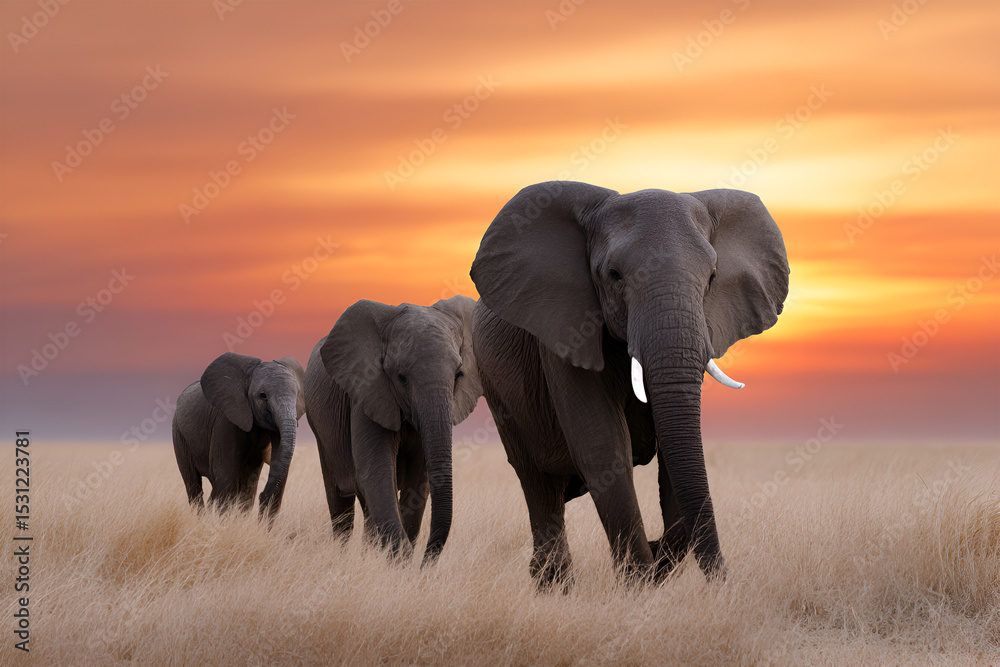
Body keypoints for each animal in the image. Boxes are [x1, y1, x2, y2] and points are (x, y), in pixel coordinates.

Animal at [172, 352, 305, 520]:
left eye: (298, 394)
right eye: (263, 396)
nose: (263, 496)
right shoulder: (225, 421)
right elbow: (227, 477)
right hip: (179, 433)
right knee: (193, 484)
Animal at [304, 295, 482, 564]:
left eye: (459, 375)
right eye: (401, 377)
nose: (424, 564)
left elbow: (419, 482)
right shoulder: (367, 392)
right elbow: (377, 474)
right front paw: (400, 562)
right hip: (320, 428)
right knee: (342, 501)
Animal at [469, 181, 789, 587]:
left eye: (713, 277)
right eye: (614, 274)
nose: (722, 580)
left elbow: (675, 454)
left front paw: (655, 559)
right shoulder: (566, 329)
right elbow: (604, 446)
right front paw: (638, 584)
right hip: (500, 395)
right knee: (537, 483)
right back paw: (552, 583)